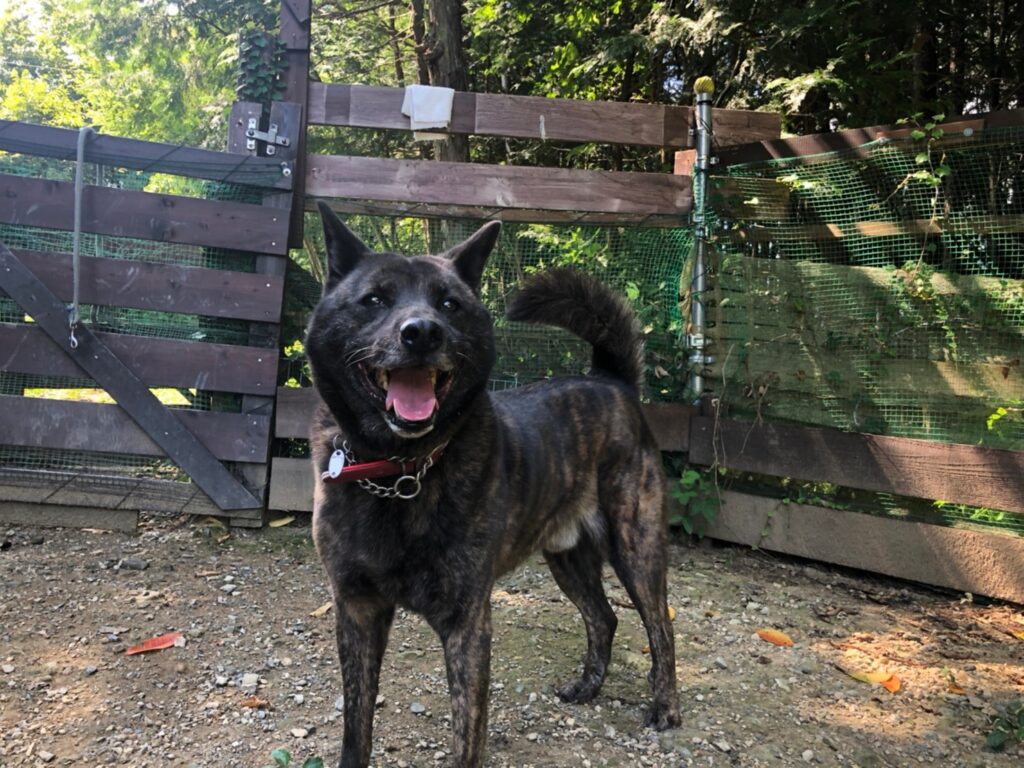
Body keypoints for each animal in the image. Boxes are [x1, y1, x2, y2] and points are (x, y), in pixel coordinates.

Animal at [307, 202, 680, 768]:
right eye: (373, 299)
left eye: (450, 304)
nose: (423, 332)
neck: (402, 471)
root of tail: (611, 381)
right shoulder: (357, 611)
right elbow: (357, 725)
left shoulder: (467, 624)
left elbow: (467, 739)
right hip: (568, 558)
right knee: (604, 618)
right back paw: (587, 686)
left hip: (636, 547)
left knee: (660, 626)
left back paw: (665, 707)